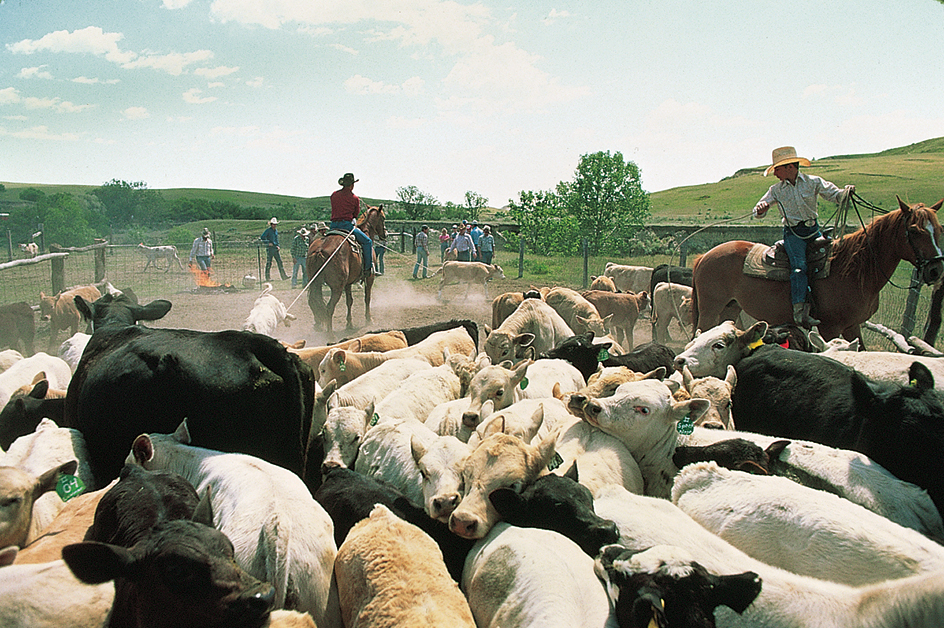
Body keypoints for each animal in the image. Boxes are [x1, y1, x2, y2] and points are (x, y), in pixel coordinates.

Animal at [308, 206, 386, 334]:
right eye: (383, 218)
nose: (385, 234)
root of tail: (320, 249)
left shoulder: (348, 283)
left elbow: (349, 301)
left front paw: (349, 324)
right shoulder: (370, 277)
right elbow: (367, 298)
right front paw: (369, 319)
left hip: (314, 283)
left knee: (313, 302)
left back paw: (319, 326)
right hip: (337, 287)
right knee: (329, 307)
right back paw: (330, 335)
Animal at [688, 196, 940, 344]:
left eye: (938, 229)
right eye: (915, 231)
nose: (936, 270)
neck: (853, 270)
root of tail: (704, 257)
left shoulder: (852, 326)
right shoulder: (830, 328)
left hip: (730, 308)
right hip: (710, 308)